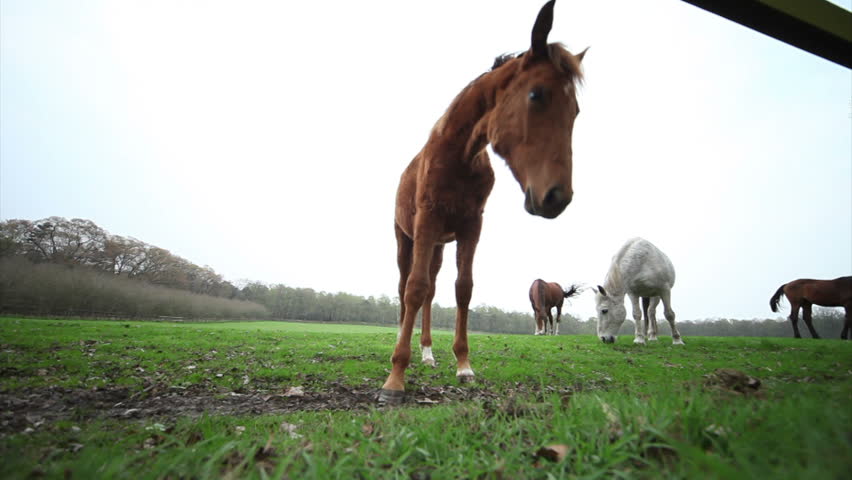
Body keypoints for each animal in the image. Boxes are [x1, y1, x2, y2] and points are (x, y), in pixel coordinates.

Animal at [380, 0, 584, 404]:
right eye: (536, 95)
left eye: (576, 111)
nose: (557, 197)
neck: (459, 156)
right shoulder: (426, 222)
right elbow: (413, 288)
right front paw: (395, 377)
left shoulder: (471, 227)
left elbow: (463, 289)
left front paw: (463, 365)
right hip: (407, 239)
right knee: (405, 286)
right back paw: (403, 344)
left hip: (439, 246)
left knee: (431, 292)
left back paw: (427, 353)